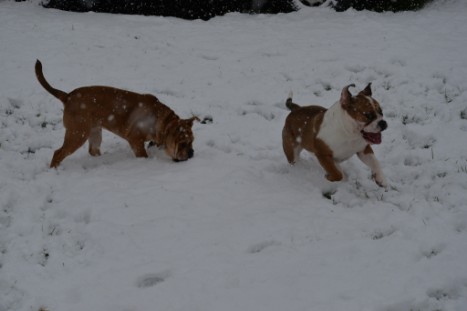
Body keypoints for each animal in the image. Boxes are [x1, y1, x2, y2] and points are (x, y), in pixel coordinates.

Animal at [35, 60, 197, 168]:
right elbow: (143, 154)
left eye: (192, 142)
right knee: (58, 153)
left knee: (93, 150)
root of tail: (68, 96)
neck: (162, 121)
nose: (191, 153)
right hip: (77, 134)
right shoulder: (136, 140)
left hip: (94, 132)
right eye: (183, 143)